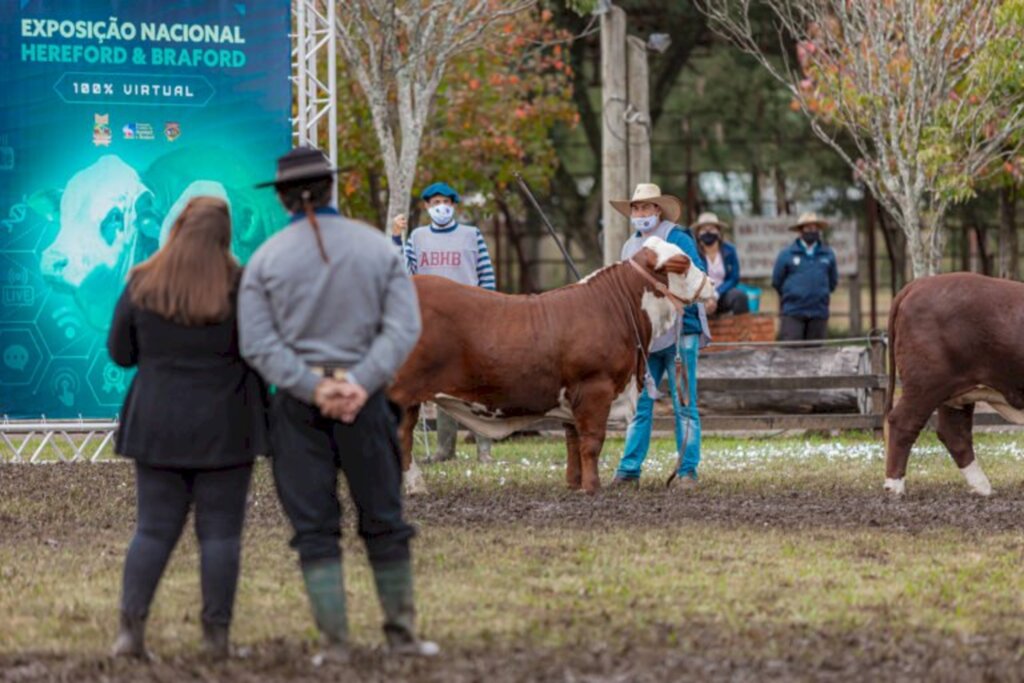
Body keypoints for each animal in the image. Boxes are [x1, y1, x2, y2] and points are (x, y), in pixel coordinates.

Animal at [387, 237, 716, 493]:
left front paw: (574, 484)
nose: (712, 284)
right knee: (401, 439)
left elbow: (573, 440)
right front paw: (593, 487)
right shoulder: (594, 387)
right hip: (401, 393)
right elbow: (592, 441)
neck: (616, 308)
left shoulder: (572, 396)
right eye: (685, 261)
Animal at [880, 272, 1024, 497]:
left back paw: (982, 487)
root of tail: (917, 285)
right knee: (902, 422)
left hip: (956, 392)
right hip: (925, 385)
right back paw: (894, 487)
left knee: (954, 433)